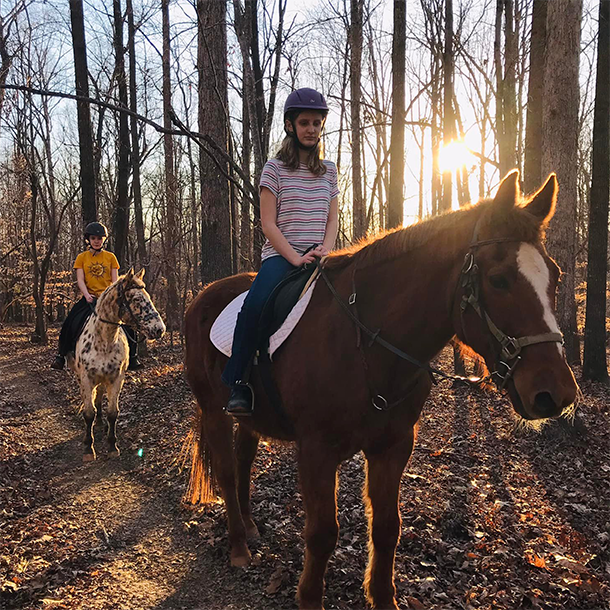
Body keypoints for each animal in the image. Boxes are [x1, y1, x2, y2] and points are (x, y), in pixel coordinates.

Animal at [67, 268, 164, 458]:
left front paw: (112, 445)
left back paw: (100, 423)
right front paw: (88, 447)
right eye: (136, 299)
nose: (159, 329)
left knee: (98, 397)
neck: (104, 341)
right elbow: (88, 412)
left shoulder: (116, 378)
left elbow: (112, 413)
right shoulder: (86, 379)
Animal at [184, 171, 576, 608]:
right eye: (499, 279)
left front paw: (383, 596)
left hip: (250, 417)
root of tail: (201, 296)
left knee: (243, 460)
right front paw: (310, 596)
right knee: (225, 470)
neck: (365, 343)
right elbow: (322, 534)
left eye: (555, 276)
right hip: (212, 409)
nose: (556, 393)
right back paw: (238, 545)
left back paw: (251, 526)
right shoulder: (317, 451)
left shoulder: (393, 445)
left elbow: (388, 527)